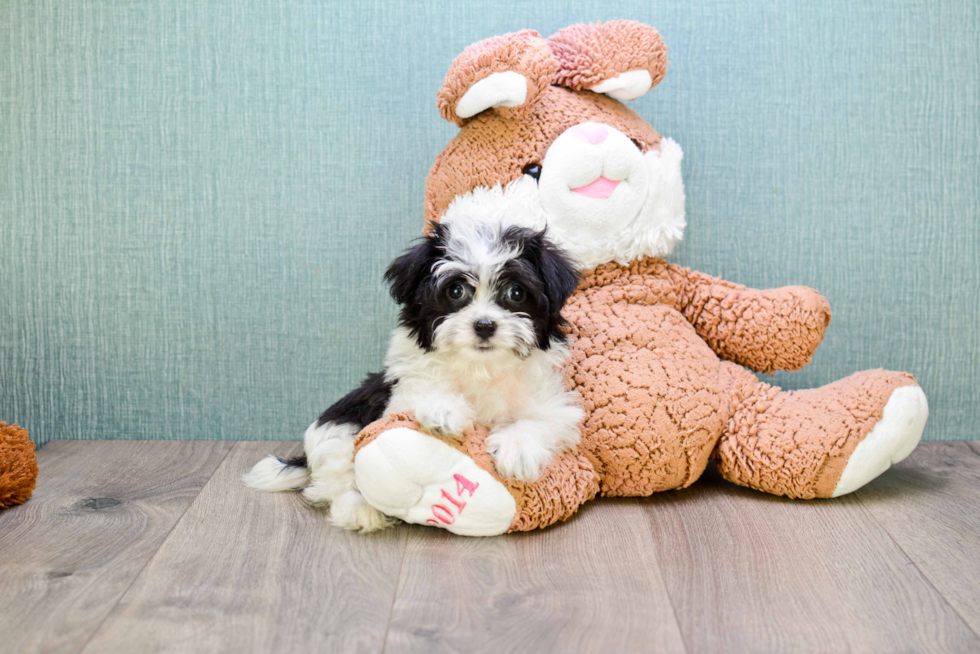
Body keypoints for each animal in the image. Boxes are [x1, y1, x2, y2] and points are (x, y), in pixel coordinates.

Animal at [244, 220, 580, 532]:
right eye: (456, 291)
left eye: (516, 292)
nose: (484, 325)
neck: (480, 367)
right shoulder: (402, 391)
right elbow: (422, 393)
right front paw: (444, 411)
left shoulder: (550, 400)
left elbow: (542, 419)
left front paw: (517, 449)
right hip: (337, 434)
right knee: (334, 482)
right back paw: (361, 508)